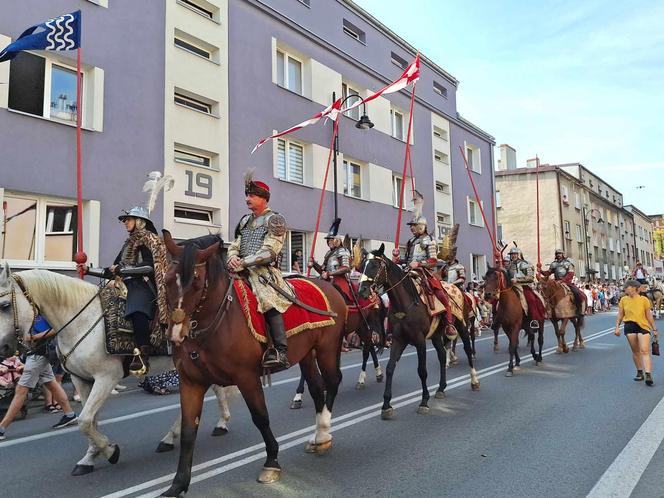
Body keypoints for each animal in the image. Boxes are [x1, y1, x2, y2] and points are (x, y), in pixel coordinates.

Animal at [0, 264, 233, 474]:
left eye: (4, 305)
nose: (4, 348)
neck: (81, 321)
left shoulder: (106, 378)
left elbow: (84, 420)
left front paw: (110, 451)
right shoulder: (81, 380)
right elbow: (90, 421)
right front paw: (90, 457)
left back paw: (214, 425)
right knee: (211, 389)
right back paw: (190, 432)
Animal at [161, 234, 348, 498]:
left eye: (196, 282)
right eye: (167, 280)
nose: (176, 334)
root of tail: (330, 287)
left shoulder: (246, 378)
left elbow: (261, 417)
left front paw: (271, 463)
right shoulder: (191, 383)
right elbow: (188, 431)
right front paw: (178, 484)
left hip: (327, 349)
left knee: (332, 382)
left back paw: (323, 431)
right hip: (307, 355)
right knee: (316, 387)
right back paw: (319, 437)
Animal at [358, 245, 478, 420]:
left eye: (374, 265)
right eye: (362, 266)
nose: (362, 291)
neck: (406, 304)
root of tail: (459, 290)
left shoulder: (420, 341)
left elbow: (422, 371)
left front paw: (424, 402)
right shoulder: (398, 340)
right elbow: (390, 368)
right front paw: (386, 405)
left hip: (462, 326)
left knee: (468, 350)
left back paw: (474, 381)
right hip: (436, 335)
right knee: (442, 355)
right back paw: (441, 388)